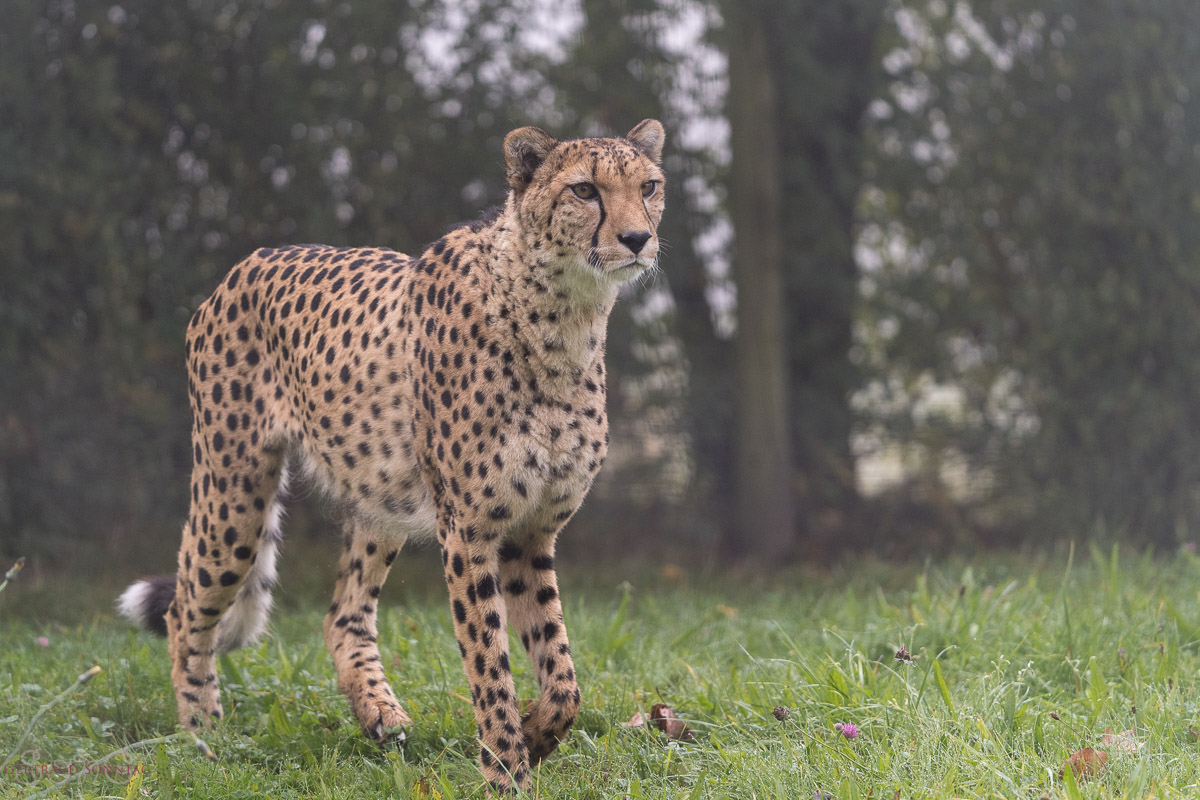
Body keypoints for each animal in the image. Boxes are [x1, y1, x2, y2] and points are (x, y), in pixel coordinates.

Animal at [118, 118, 667, 786]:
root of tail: (253, 258)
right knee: (186, 609)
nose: (638, 238)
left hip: (381, 496)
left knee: (343, 614)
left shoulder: (531, 532)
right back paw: (203, 737)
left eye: (649, 186)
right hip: (233, 492)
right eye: (585, 190)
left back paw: (379, 711)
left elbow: (563, 680)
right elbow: (489, 665)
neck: (565, 318)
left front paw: (535, 736)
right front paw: (505, 770)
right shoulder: (471, 531)